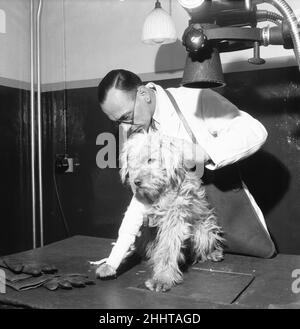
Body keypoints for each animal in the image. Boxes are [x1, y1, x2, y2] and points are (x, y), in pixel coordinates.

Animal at [119, 132, 223, 290]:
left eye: (151, 159)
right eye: (131, 161)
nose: (136, 182)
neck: (161, 192)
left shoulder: (175, 218)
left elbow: (168, 248)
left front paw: (162, 278)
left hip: (202, 232)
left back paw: (212, 252)